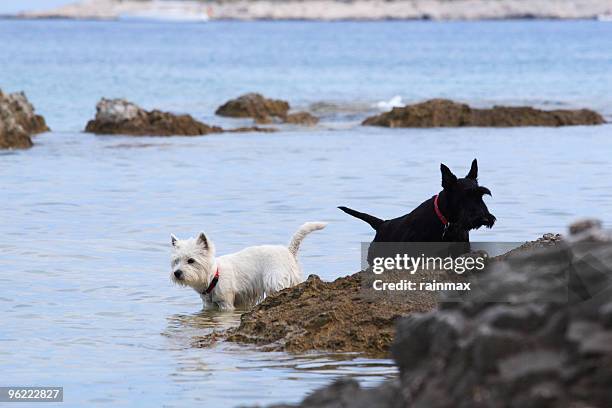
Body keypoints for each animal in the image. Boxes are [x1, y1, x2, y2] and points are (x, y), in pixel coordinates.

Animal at [170, 222, 328, 310]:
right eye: (176, 261)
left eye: (191, 260)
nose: (177, 273)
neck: (214, 275)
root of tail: (288, 251)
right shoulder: (209, 305)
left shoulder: (226, 303)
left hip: (274, 279)